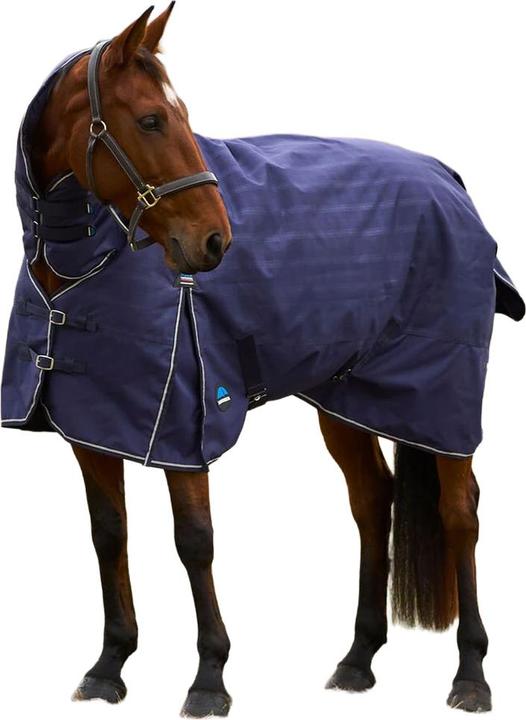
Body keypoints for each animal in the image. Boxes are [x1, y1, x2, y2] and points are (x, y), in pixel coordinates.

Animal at [3, 4, 524, 717]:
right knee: (373, 500)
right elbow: (109, 532)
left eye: (179, 115)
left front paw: (208, 678)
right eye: (151, 119)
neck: (85, 260)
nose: (214, 241)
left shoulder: (184, 423)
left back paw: (471, 673)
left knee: (458, 512)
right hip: (350, 398)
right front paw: (110, 665)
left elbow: (194, 541)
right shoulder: (91, 422)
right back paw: (357, 660)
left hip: (441, 396)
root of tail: (447, 178)